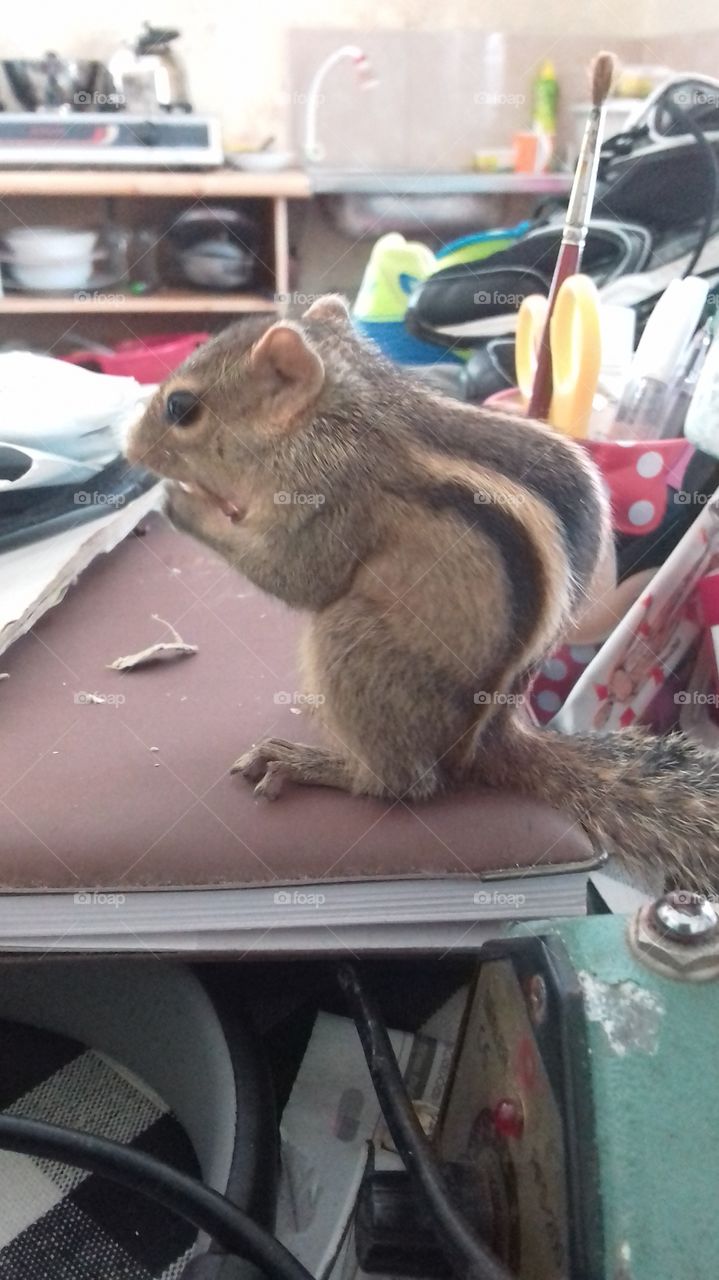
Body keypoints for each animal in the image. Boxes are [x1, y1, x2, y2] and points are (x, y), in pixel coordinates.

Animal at [126, 294, 719, 891]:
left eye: (182, 408)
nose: (129, 448)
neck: (334, 413)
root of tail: (489, 744)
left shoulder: (332, 496)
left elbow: (298, 575)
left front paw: (178, 501)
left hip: (355, 644)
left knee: (404, 784)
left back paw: (310, 764)